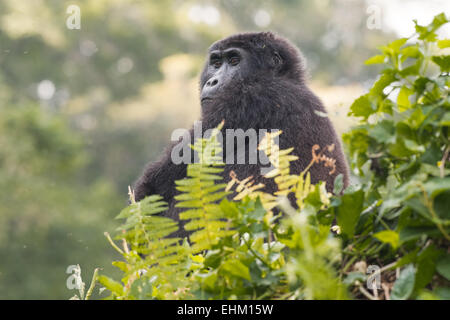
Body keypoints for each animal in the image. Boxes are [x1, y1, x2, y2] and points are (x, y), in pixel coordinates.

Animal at [132, 32, 350, 236]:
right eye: (216, 63)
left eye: (234, 61)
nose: (212, 81)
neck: (285, 78)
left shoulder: (246, 97)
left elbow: (156, 186)